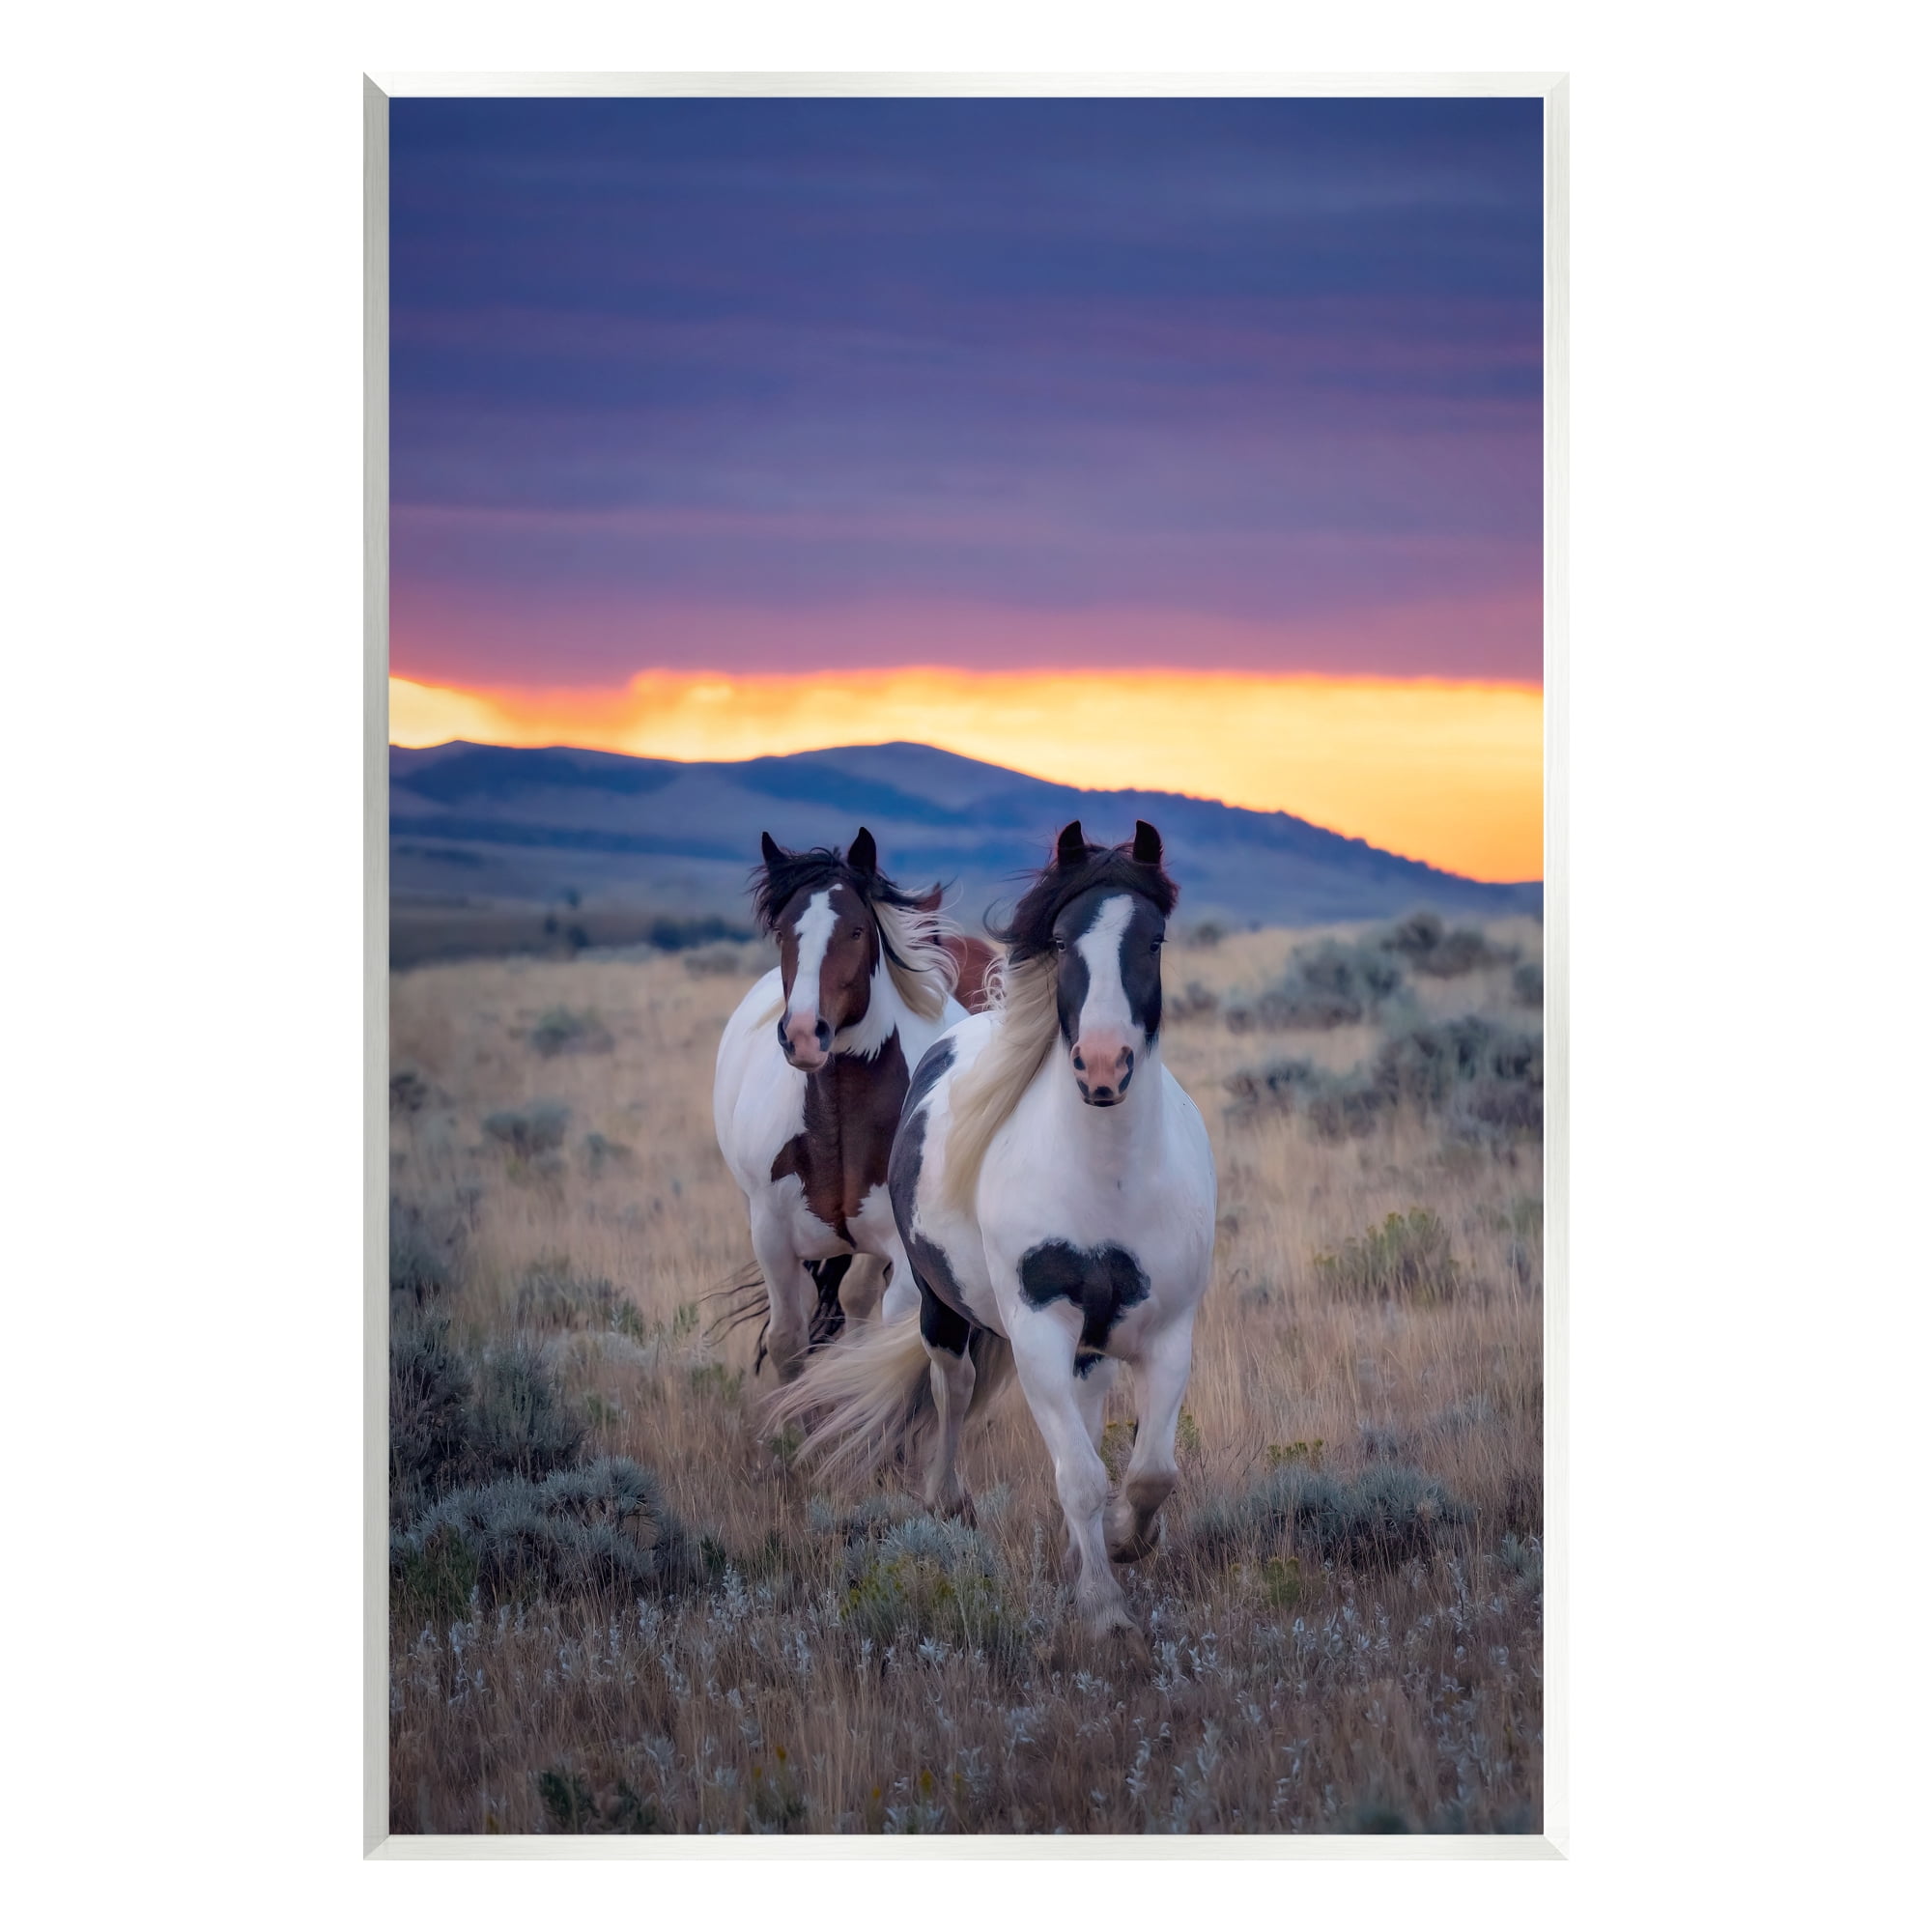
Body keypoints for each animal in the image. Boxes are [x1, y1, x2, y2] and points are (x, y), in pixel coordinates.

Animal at [713, 827, 989, 1381]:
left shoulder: (902, 1255)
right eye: (782, 932)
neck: (837, 1119)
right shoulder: (771, 1236)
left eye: (858, 931)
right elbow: (786, 1342)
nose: (803, 1034)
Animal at [768, 819, 1217, 1655]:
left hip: (1090, 1343)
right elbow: (1079, 1476)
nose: (1102, 1066)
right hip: (941, 1307)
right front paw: (1103, 1608)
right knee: (952, 1387)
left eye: (1154, 940)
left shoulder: (1168, 1329)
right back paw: (948, 1499)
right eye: (1064, 941)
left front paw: (1125, 1542)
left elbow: (1150, 1473)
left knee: (1090, 1413)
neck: (1107, 1175)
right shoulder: (1037, 1327)